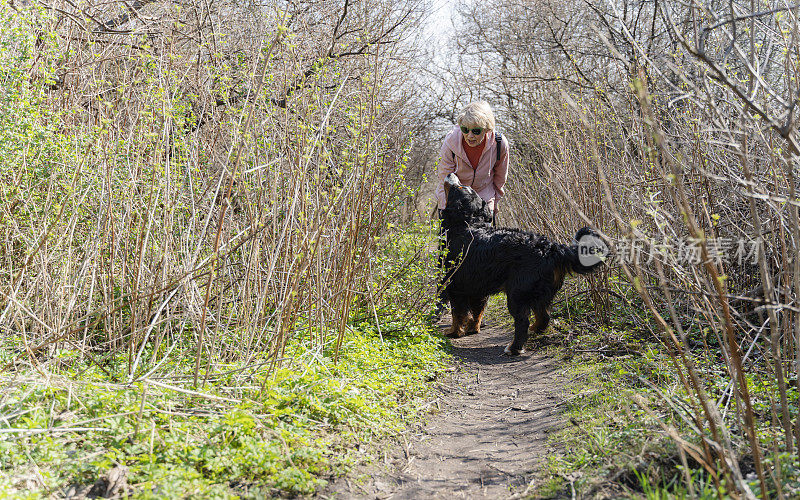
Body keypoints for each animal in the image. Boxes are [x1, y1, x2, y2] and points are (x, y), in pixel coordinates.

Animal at [440, 174, 604, 354]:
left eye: (459, 187)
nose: (451, 174)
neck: (467, 224)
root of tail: (550, 247)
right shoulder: (477, 288)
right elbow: (477, 312)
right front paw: (472, 328)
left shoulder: (455, 285)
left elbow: (458, 314)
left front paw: (454, 332)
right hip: (539, 294)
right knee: (544, 317)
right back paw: (535, 329)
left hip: (516, 294)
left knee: (522, 321)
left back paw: (513, 348)